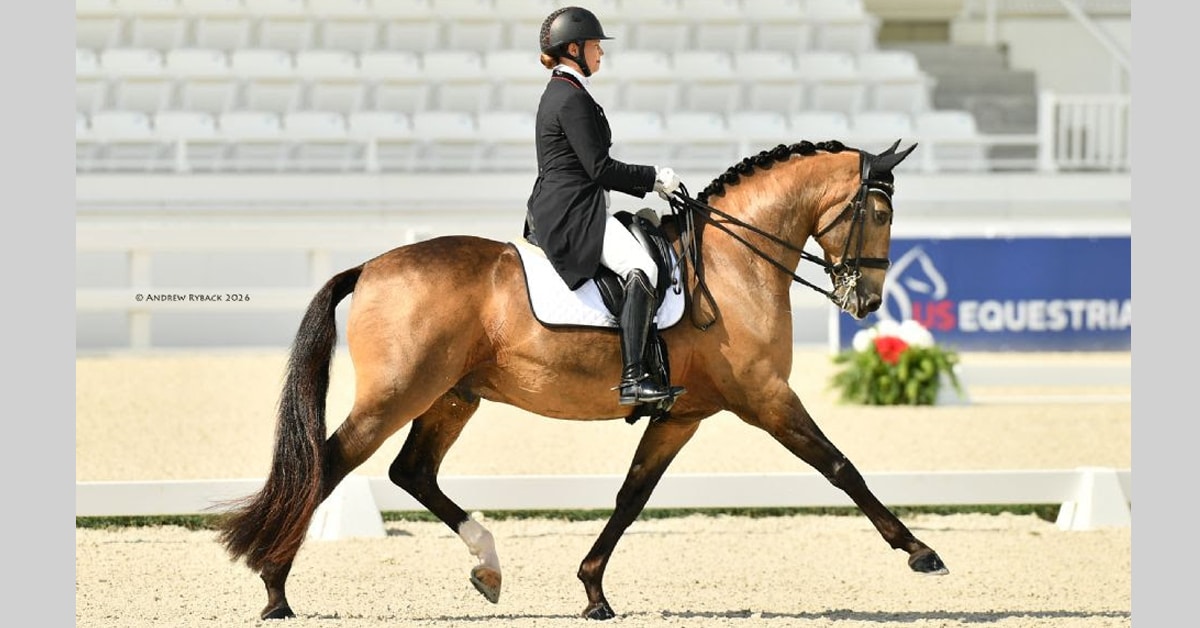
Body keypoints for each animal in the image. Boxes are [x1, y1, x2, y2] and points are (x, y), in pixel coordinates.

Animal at [216, 139, 947, 621]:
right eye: (879, 214)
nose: (867, 302)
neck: (733, 263)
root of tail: (368, 267)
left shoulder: (682, 414)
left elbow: (631, 496)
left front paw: (593, 590)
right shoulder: (766, 397)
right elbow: (840, 466)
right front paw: (920, 553)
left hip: (453, 396)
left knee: (412, 472)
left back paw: (487, 565)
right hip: (398, 394)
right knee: (330, 464)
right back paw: (275, 590)